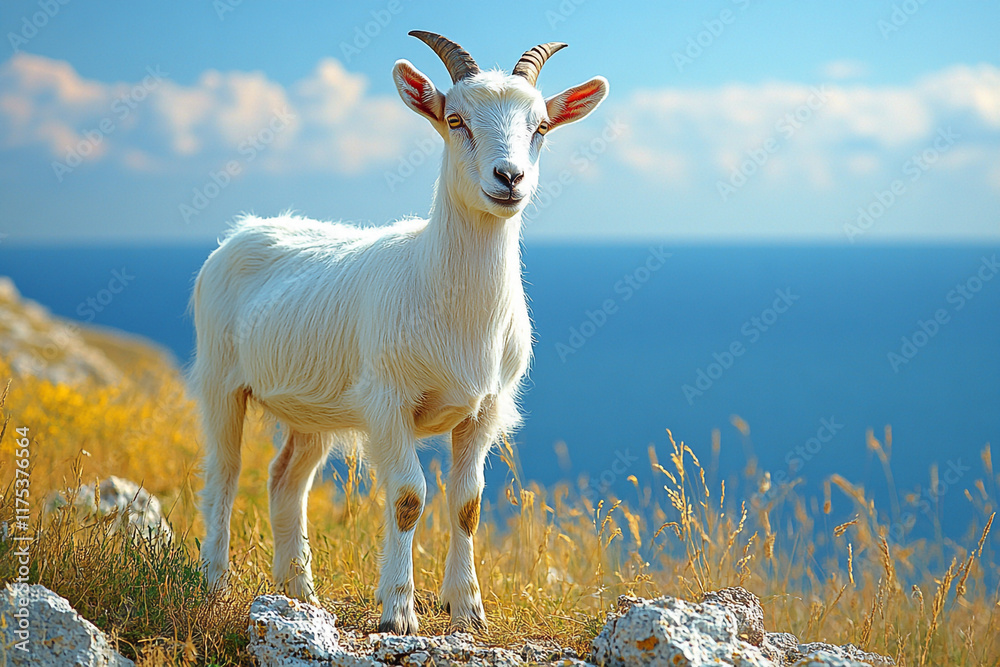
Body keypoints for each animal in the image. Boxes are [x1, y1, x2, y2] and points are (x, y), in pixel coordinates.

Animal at [191, 31, 608, 634]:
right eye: (456, 119)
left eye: (542, 127)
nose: (510, 179)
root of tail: (244, 230)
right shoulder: (389, 401)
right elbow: (409, 497)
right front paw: (398, 610)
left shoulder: (486, 407)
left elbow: (467, 503)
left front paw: (468, 609)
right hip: (221, 379)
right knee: (224, 473)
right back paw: (215, 583)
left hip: (313, 406)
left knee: (284, 479)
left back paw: (301, 594)